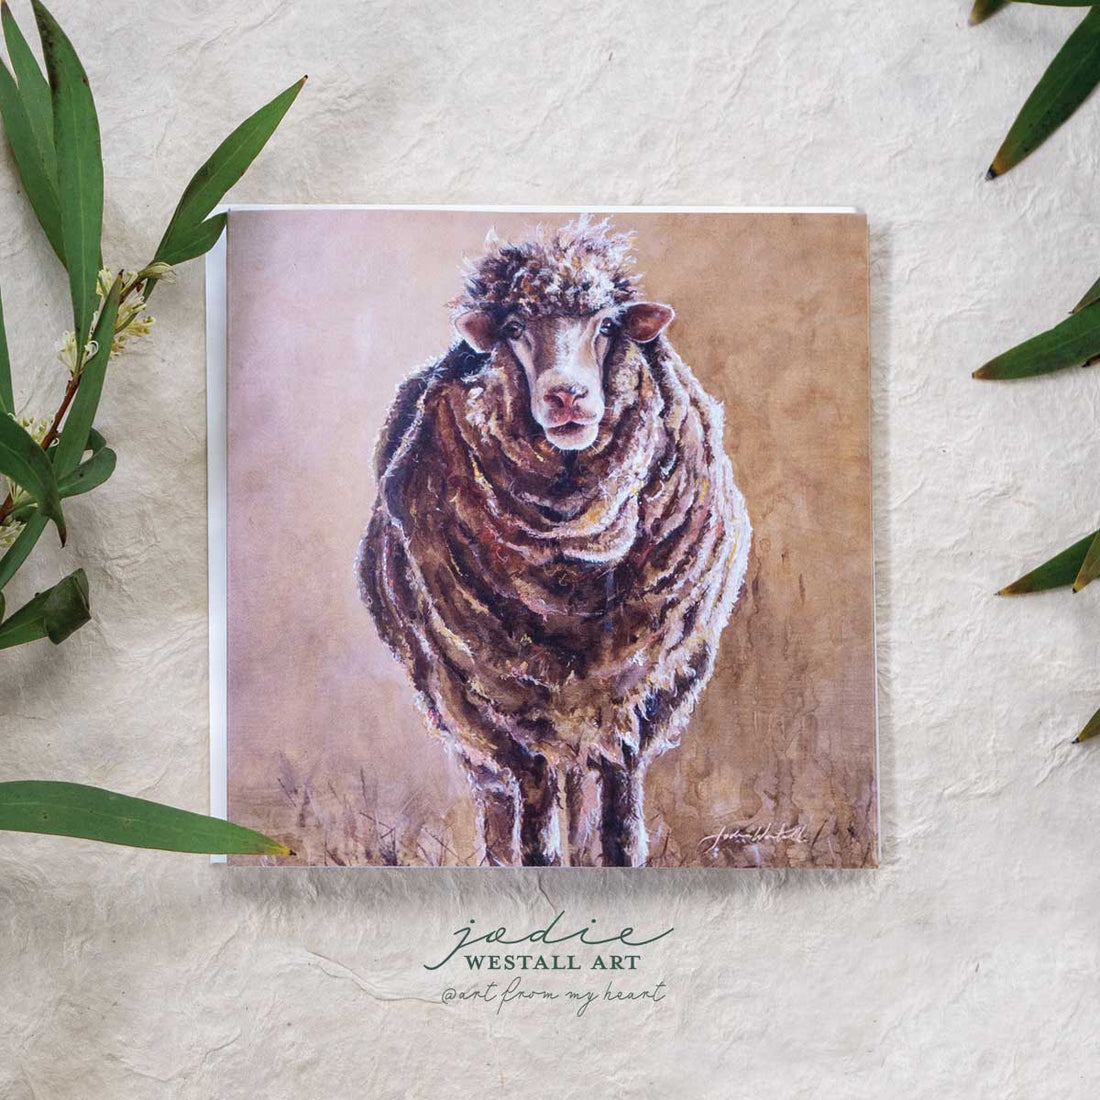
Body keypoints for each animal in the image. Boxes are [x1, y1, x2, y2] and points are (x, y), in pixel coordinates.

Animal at [357, 217, 751, 867]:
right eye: (515, 329)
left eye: (609, 325)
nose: (567, 397)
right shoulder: (503, 716)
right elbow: (537, 834)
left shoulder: (637, 707)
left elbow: (620, 830)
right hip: (459, 710)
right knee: (500, 809)